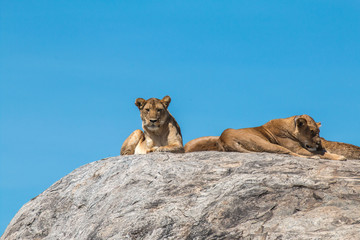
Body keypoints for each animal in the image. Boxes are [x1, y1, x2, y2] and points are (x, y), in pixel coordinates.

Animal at [186, 115, 352, 160]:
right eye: (312, 132)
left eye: (318, 132)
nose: (318, 142)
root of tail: (225, 139)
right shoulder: (297, 148)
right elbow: (321, 153)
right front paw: (339, 156)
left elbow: (324, 151)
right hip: (268, 144)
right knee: (290, 153)